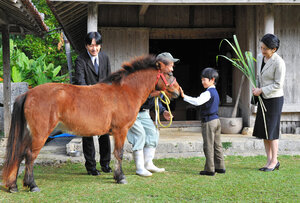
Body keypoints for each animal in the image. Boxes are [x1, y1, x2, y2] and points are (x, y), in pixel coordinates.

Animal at [1, 54, 180, 192]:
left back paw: (13, 186)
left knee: (19, 154)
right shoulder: (120, 131)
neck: (125, 92)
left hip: (28, 133)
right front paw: (120, 177)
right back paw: (32, 185)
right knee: (30, 156)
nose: (179, 92)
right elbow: (119, 154)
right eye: (169, 73)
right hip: (40, 134)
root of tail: (28, 94)